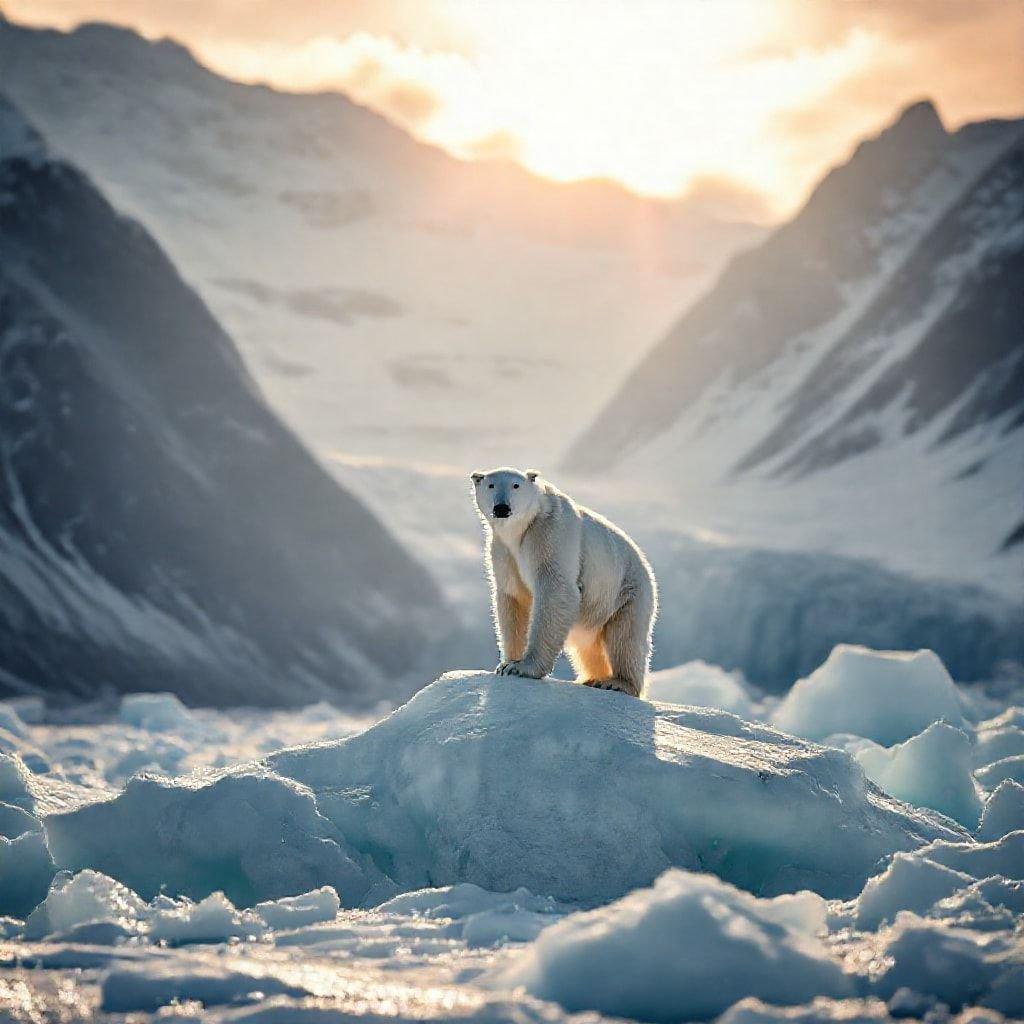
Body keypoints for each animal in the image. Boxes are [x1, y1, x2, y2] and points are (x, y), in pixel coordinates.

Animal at [471, 466, 655, 696]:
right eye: (491, 485)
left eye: (516, 485)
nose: (502, 508)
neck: (519, 531)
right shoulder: (503, 550)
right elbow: (513, 597)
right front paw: (506, 664)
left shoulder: (549, 533)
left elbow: (556, 589)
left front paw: (522, 668)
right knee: (588, 648)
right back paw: (592, 678)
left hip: (626, 592)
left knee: (625, 637)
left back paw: (618, 682)